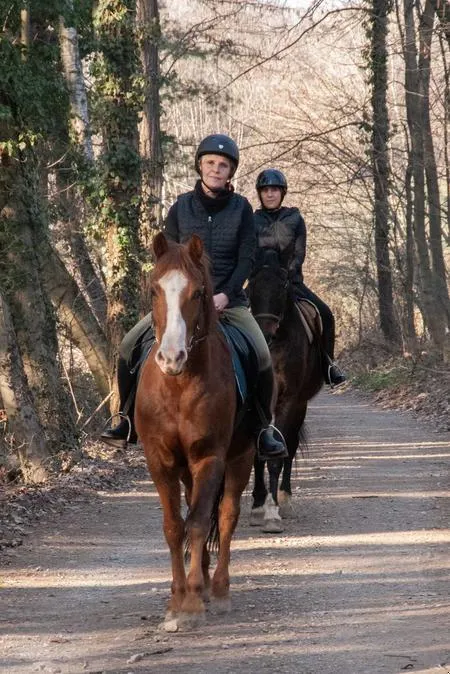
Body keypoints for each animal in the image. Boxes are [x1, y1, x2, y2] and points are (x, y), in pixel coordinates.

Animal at [135, 232, 255, 630]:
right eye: (154, 289)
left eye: (199, 292)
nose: (172, 358)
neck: (178, 386)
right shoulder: (160, 460)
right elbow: (175, 526)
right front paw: (178, 598)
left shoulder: (209, 457)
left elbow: (202, 522)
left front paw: (191, 604)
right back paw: (198, 578)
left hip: (242, 456)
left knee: (227, 516)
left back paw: (216, 589)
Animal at [246, 248, 323, 532]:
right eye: (251, 287)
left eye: (283, 286)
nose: (265, 334)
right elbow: (258, 453)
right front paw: (259, 506)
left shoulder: (289, 401)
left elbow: (278, 454)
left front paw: (273, 512)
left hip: (301, 404)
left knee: (289, 444)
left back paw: (286, 500)